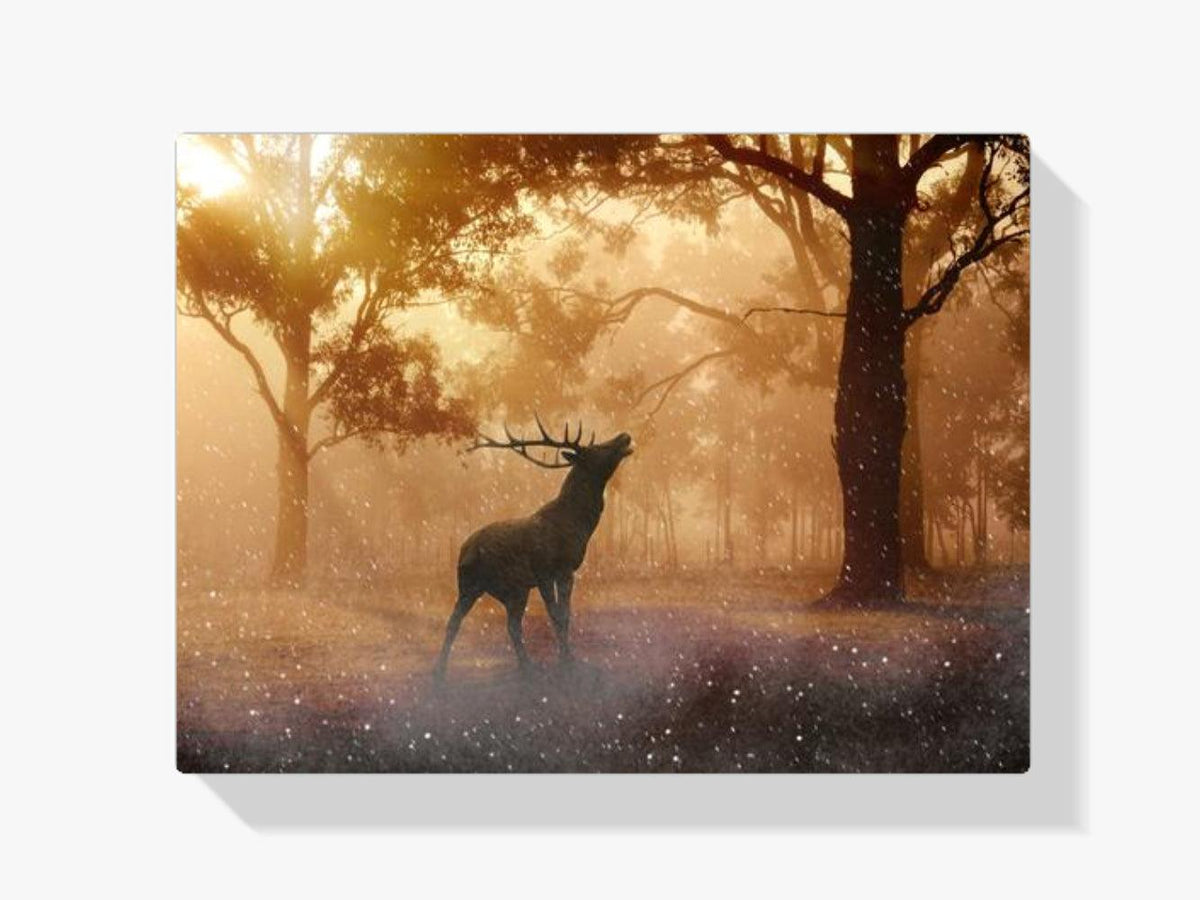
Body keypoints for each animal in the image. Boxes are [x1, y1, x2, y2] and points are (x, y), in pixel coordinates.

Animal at [433, 416, 633, 681]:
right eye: (596, 448)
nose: (624, 436)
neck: (579, 524)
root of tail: (466, 553)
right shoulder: (550, 569)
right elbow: (558, 615)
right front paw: (567, 661)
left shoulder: (561, 572)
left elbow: (566, 614)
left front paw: (567, 657)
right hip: (495, 585)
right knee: (491, 624)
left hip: (492, 587)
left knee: (489, 623)